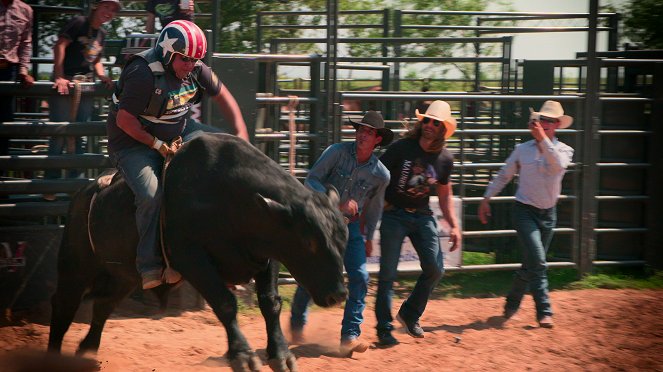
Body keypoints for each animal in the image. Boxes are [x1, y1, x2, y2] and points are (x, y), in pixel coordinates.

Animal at [48, 134, 348, 372]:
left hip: (125, 276)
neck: (231, 197)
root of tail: (82, 194)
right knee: (63, 308)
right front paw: (242, 356)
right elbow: (225, 302)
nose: (339, 294)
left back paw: (87, 350)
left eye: (344, 237)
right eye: (308, 242)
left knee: (103, 306)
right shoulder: (191, 257)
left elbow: (271, 303)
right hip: (74, 267)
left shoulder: (267, 254)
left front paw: (281, 355)